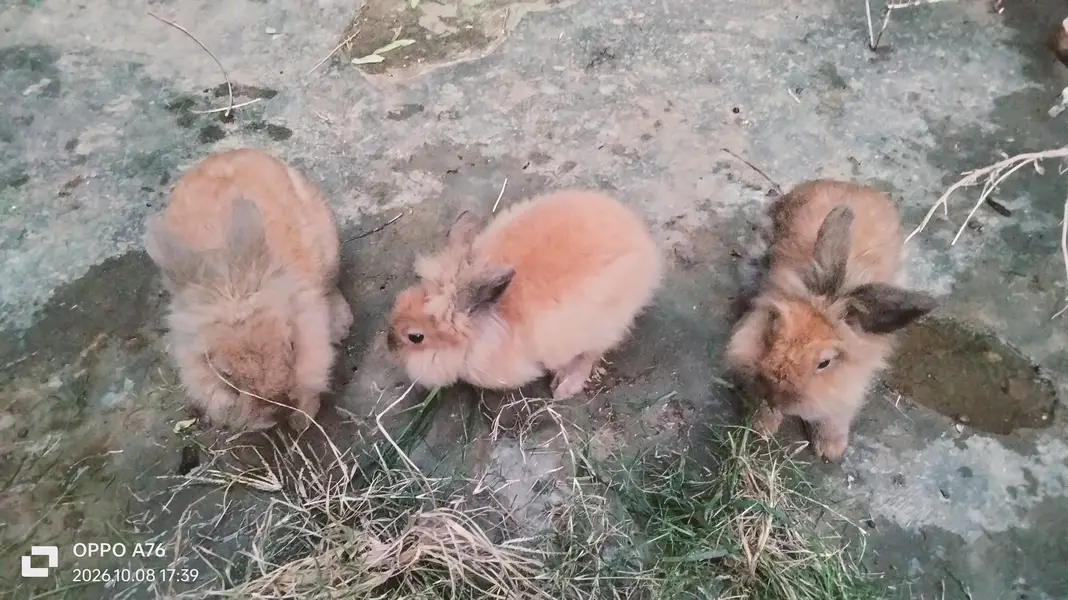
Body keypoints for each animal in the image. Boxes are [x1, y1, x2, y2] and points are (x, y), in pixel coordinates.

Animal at [386, 189, 664, 400]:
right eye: (400, 301)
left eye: (415, 337)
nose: (390, 348)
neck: (483, 322)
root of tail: (644, 244)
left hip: (602, 325)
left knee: (591, 354)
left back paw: (565, 386)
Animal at [724, 179, 937, 461]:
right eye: (773, 330)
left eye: (824, 363)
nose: (773, 390)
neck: (837, 291)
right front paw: (761, 427)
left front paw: (830, 449)